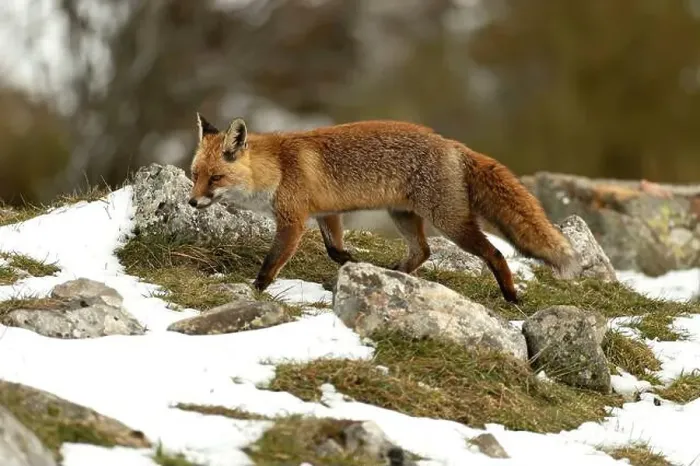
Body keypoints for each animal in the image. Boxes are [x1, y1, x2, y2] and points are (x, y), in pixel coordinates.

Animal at [188, 113, 580, 303]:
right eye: (195, 175)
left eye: (216, 178)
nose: (191, 201)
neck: (279, 169)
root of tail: (453, 144)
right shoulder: (326, 212)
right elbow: (335, 250)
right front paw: (354, 265)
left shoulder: (293, 220)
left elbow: (271, 264)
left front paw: (254, 289)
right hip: (403, 215)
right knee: (423, 251)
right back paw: (397, 274)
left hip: (449, 221)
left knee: (494, 253)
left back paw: (511, 296)